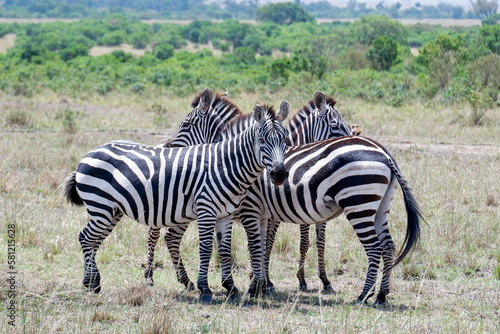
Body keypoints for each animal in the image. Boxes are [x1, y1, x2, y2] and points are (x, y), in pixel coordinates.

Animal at [63, 87, 290, 302]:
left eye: (285, 140)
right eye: (262, 140)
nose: (279, 174)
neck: (225, 165)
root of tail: (90, 152)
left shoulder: (225, 214)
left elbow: (225, 250)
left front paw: (231, 287)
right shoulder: (208, 211)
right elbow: (207, 248)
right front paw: (205, 289)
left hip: (111, 210)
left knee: (94, 240)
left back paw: (93, 281)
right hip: (101, 205)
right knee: (86, 238)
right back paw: (93, 283)